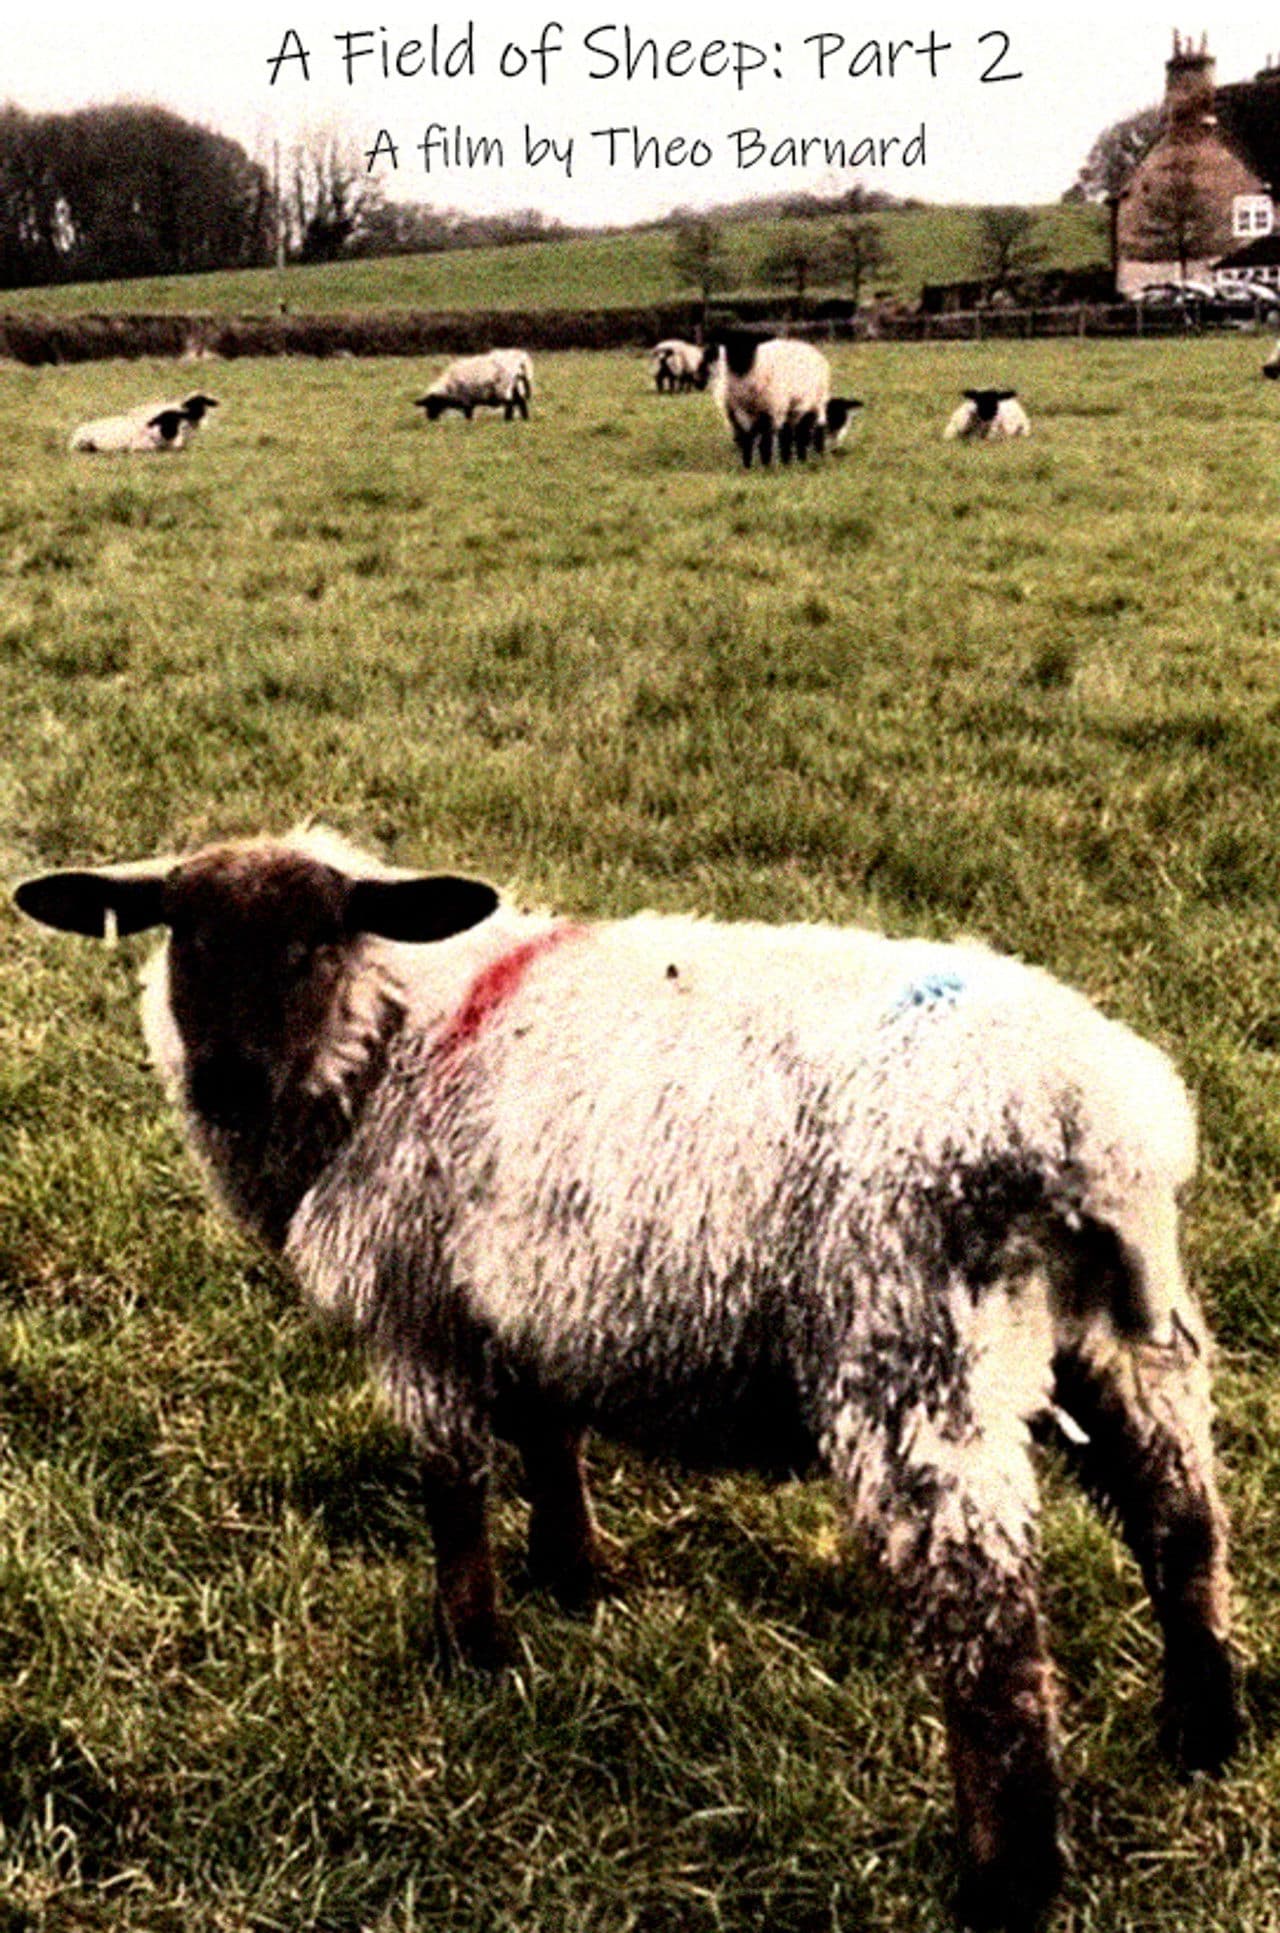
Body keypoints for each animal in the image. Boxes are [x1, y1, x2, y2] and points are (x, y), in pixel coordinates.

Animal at [15, 828, 1239, 1932]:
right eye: (183, 935)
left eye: (318, 940)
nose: (224, 1081)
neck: (395, 1031)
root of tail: (1096, 1124)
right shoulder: (531, 1297)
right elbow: (551, 1440)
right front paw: (575, 1577)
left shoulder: (421, 1315)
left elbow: (452, 1489)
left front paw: (475, 1652)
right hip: (1127, 1340)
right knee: (1181, 1527)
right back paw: (1203, 1738)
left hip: (913, 1358)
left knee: (991, 1641)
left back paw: (1004, 1884)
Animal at [701, 331, 833, 467]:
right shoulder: (740, 412)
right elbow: (747, 439)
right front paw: (747, 465)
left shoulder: (771, 410)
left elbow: (765, 440)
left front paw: (766, 465)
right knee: (789, 432)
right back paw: (789, 460)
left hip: (812, 403)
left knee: (807, 430)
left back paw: (810, 457)